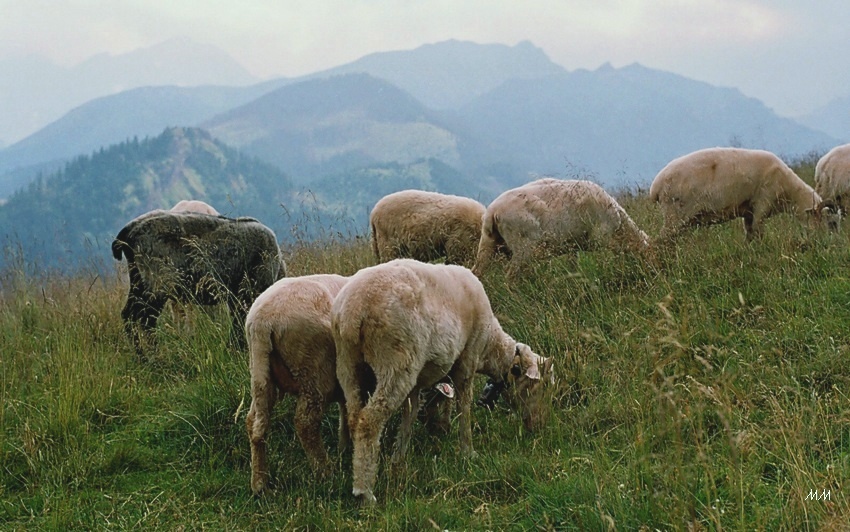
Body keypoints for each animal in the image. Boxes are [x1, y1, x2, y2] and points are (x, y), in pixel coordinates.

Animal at [111, 210, 284, 356]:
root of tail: (127, 233)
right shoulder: (249, 294)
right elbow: (241, 324)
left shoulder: (236, 298)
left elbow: (237, 326)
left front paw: (232, 349)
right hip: (157, 283)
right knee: (145, 319)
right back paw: (153, 356)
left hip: (139, 280)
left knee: (128, 314)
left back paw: (141, 356)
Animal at [243, 274, 350, 494]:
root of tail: (261, 322)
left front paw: (345, 448)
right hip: (314, 372)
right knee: (305, 423)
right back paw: (325, 473)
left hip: (261, 373)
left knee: (254, 422)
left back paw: (259, 483)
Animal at [328, 260, 552, 504]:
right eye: (537, 386)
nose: (538, 425)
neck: (491, 348)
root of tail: (353, 311)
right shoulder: (468, 359)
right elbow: (464, 407)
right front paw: (468, 452)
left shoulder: (416, 385)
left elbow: (410, 414)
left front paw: (399, 459)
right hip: (396, 362)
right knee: (369, 421)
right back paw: (365, 493)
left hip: (348, 364)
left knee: (352, 416)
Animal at [470, 180, 648, 276]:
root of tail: (492, 212)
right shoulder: (602, 237)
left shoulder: (573, 245)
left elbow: (573, 264)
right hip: (523, 244)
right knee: (510, 274)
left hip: (488, 242)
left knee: (477, 271)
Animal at [644, 147, 832, 240]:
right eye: (819, 218)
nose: (820, 238)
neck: (789, 192)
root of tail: (655, 188)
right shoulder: (763, 202)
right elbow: (758, 230)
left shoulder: (748, 210)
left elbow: (750, 232)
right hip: (675, 214)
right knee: (661, 240)